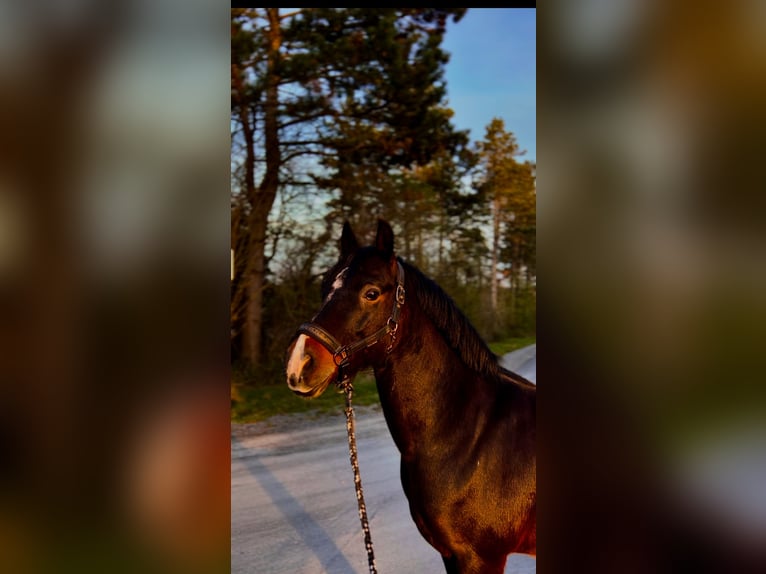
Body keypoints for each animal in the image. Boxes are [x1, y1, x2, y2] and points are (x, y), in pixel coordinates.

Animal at [284, 222, 536, 574]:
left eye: (371, 293)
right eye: (324, 287)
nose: (299, 363)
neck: (469, 437)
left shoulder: (481, 558)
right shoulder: (451, 555)